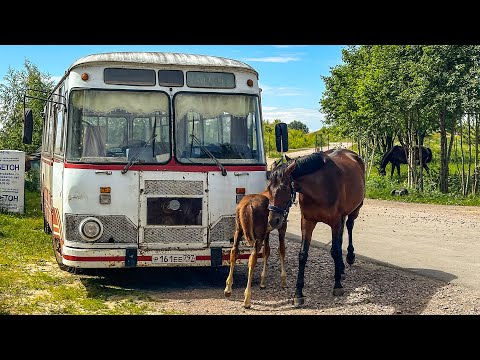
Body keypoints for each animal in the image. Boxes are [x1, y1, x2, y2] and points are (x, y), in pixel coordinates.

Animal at [266, 148, 364, 306]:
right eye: (269, 188)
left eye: (285, 188)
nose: (274, 220)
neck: (320, 186)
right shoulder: (307, 222)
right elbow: (303, 255)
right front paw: (298, 293)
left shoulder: (335, 221)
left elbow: (335, 250)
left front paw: (337, 286)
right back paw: (341, 268)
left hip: (355, 209)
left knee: (349, 226)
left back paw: (349, 257)